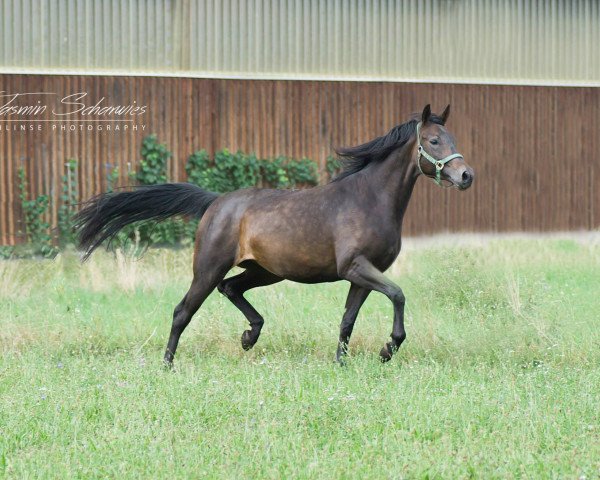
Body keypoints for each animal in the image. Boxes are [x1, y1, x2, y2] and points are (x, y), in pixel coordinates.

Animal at [75, 106, 474, 368]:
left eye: (451, 138)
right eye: (433, 141)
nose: (466, 176)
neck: (369, 199)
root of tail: (215, 202)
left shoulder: (362, 275)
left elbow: (348, 320)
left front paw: (343, 364)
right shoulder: (356, 267)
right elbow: (398, 294)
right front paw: (388, 348)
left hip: (265, 271)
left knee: (231, 289)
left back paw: (249, 336)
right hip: (208, 268)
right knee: (182, 311)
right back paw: (168, 365)